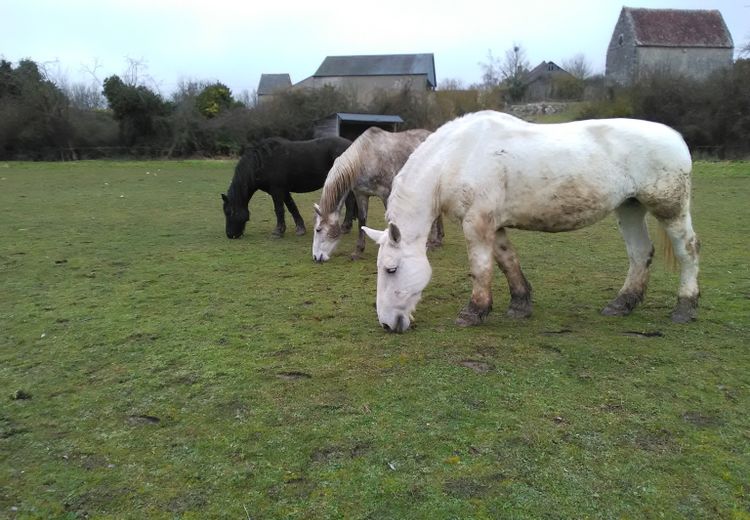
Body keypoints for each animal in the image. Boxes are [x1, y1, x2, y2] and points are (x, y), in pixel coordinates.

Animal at [222, 135, 356, 239]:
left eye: (229, 212)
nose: (230, 234)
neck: (263, 162)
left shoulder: (276, 190)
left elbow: (279, 209)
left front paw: (278, 231)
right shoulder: (284, 191)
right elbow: (292, 207)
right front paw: (300, 228)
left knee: (350, 203)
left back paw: (345, 227)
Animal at [312, 128, 444, 262]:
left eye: (318, 229)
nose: (316, 257)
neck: (366, 158)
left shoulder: (386, 195)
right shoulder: (361, 195)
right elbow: (362, 221)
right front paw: (358, 251)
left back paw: (433, 241)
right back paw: (437, 239)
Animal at [368, 111, 704, 336]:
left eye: (391, 269)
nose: (386, 323)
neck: (458, 155)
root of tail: (676, 138)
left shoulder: (477, 224)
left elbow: (481, 268)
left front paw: (474, 311)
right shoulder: (493, 226)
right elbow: (508, 262)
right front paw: (519, 304)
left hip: (670, 209)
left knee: (688, 251)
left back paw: (684, 306)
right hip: (630, 207)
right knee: (640, 254)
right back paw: (622, 304)